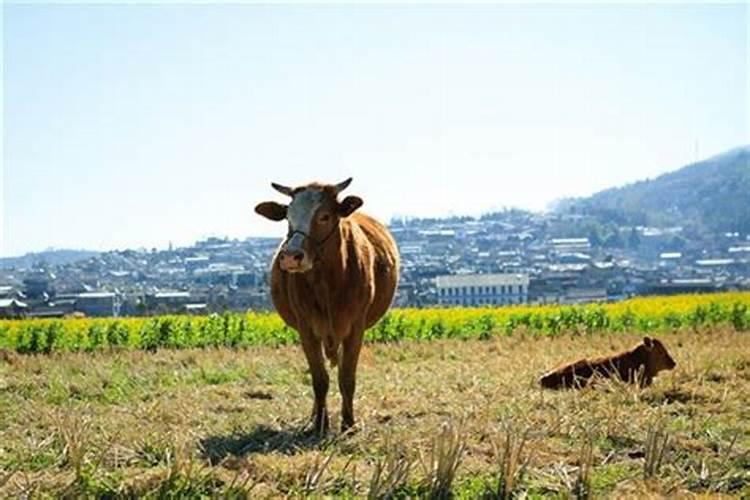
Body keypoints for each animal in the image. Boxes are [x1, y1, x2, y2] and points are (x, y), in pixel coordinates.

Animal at [256, 177, 400, 434]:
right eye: (288, 217)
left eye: (324, 216)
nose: (290, 256)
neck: (328, 284)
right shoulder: (306, 329)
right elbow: (319, 379)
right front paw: (320, 424)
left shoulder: (355, 328)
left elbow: (347, 378)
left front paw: (348, 423)